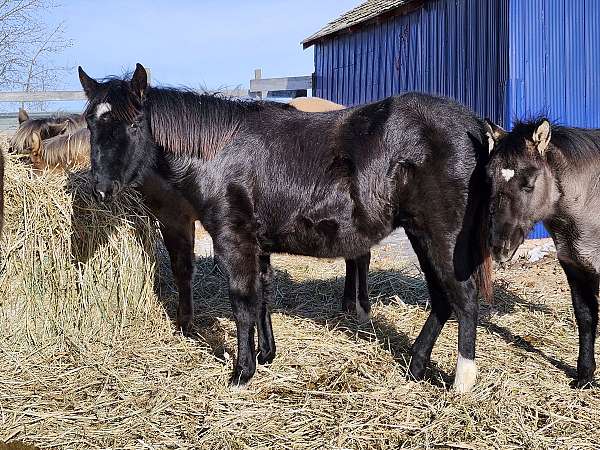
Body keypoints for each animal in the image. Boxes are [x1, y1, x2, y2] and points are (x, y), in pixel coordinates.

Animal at [79, 63, 492, 390]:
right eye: (90, 124)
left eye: (135, 123)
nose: (101, 189)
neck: (220, 152)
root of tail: (472, 123)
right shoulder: (258, 243)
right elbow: (263, 295)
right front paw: (266, 355)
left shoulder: (233, 240)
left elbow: (243, 302)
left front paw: (241, 373)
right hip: (420, 233)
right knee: (442, 299)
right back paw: (416, 366)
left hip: (441, 235)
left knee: (464, 298)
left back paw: (463, 381)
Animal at [486, 118, 600, 386]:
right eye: (489, 179)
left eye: (529, 183)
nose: (498, 247)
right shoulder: (575, 266)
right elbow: (586, 317)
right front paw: (585, 377)